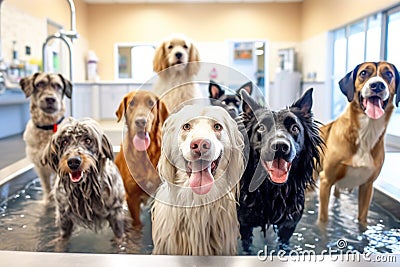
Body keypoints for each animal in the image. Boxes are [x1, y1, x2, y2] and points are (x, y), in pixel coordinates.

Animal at [20, 72, 72, 204]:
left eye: (58, 86)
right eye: (40, 84)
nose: (50, 99)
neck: (48, 127)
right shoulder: (40, 168)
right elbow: (47, 188)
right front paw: (48, 201)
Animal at [114, 90, 169, 228]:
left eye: (151, 103)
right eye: (131, 103)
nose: (140, 122)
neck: (145, 154)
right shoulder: (132, 197)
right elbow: (137, 223)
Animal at [236, 88, 324, 253]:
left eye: (295, 128)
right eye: (261, 127)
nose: (280, 146)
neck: (272, 191)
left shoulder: (288, 225)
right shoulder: (244, 224)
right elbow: (247, 246)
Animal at [318, 62, 398, 226]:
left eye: (389, 74)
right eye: (363, 73)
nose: (377, 85)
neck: (366, 132)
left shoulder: (367, 187)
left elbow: (362, 219)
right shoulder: (325, 180)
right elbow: (324, 219)